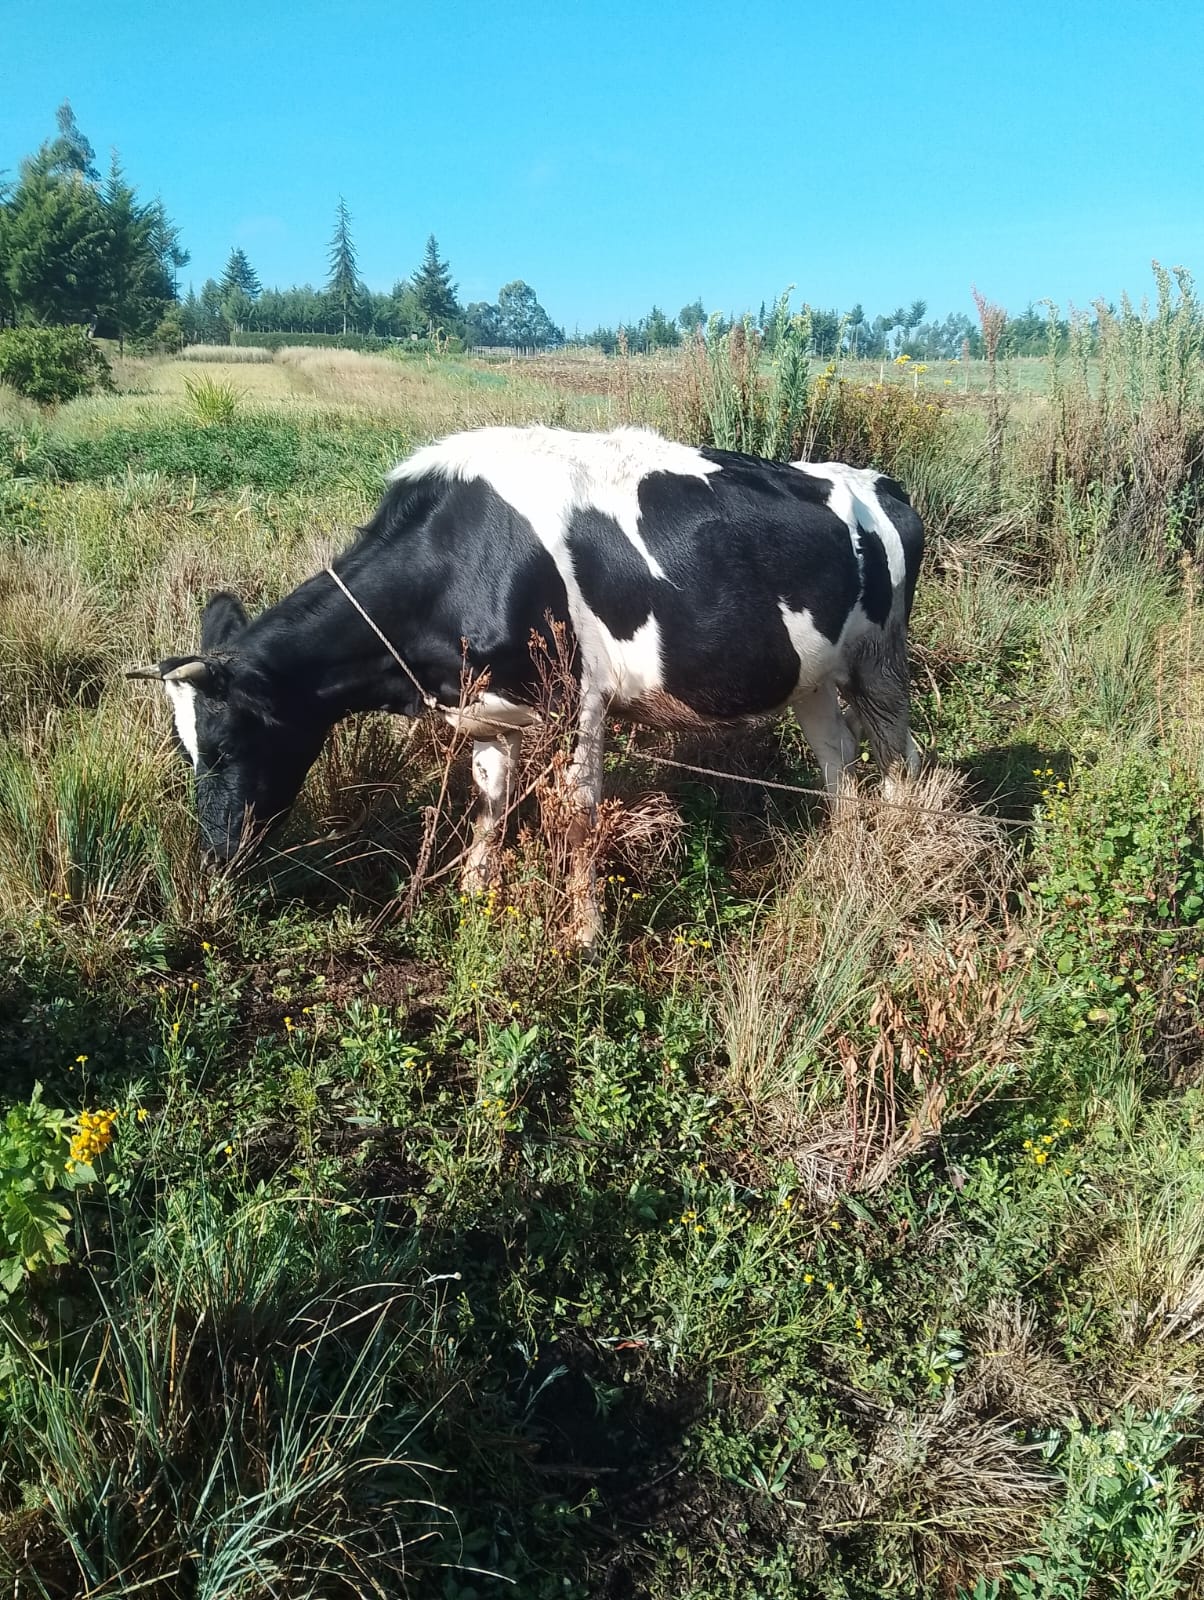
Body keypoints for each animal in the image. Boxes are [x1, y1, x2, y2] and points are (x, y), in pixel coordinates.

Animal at [128, 425, 924, 942]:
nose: (217, 855)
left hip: (880, 661)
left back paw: (902, 849)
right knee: (837, 758)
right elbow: (489, 803)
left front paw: (586, 937)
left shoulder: (578, 703)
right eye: (184, 751)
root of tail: (877, 481)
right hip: (813, 676)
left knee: (903, 758)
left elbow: (577, 820)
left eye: (226, 745)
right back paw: (844, 854)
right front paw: (475, 898)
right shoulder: (488, 710)